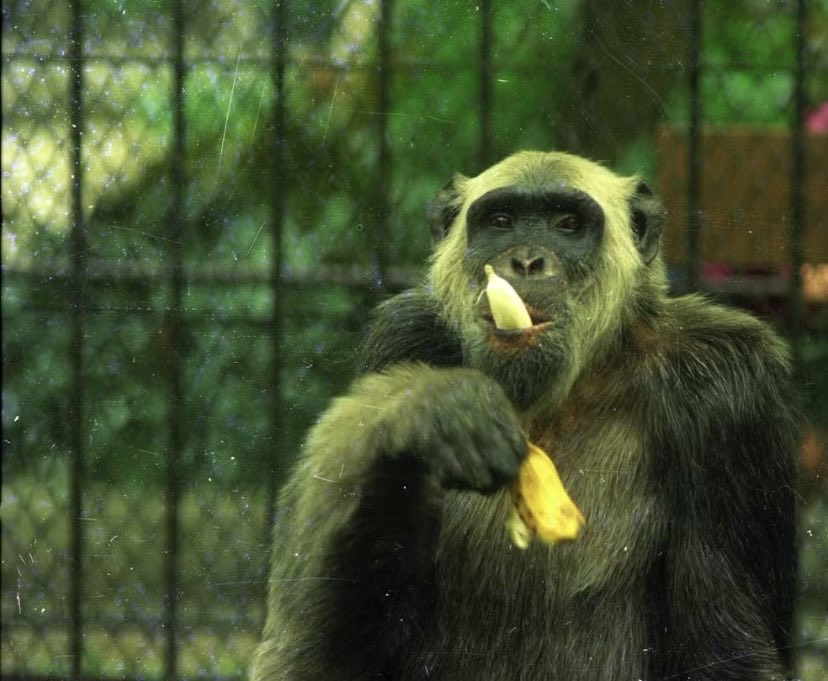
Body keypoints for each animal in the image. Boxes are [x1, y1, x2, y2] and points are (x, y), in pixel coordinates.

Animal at [250, 151, 798, 681]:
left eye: (567, 223)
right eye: (502, 221)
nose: (528, 260)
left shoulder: (727, 389)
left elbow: (724, 649)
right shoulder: (399, 338)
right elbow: (339, 650)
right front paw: (435, 412)